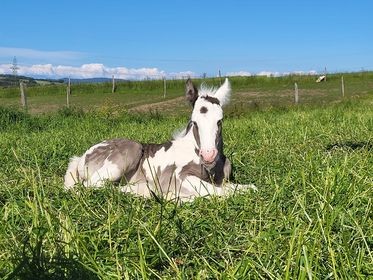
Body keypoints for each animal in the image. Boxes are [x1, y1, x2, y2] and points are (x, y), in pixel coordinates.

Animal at [64, 79, 253, 201]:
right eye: (194, 122)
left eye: (220, 121)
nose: (208, 155)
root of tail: (81, 157)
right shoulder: (178, 176)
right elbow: (219, 191)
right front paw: (175, 197)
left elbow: (246, 188)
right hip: (127, 154)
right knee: (90, 187)